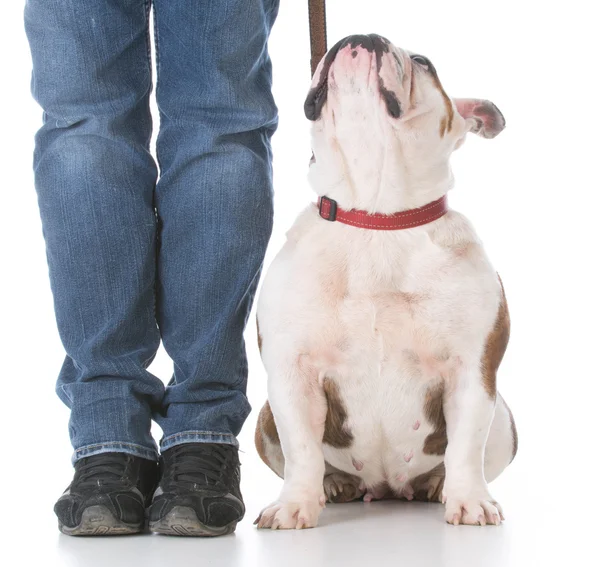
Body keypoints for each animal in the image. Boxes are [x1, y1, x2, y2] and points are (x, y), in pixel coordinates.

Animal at [253, 33, 516, 532]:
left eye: (423, 62)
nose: (361, 35)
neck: (377, 218)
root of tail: (388, 487)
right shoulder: (292, 372)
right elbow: (301, 449)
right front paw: (295, 503)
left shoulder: (473, 369)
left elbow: (466, 446)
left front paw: (469, 501)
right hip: (265, 419)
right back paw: (335, 484)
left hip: (506, 424)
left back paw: (438, 486)